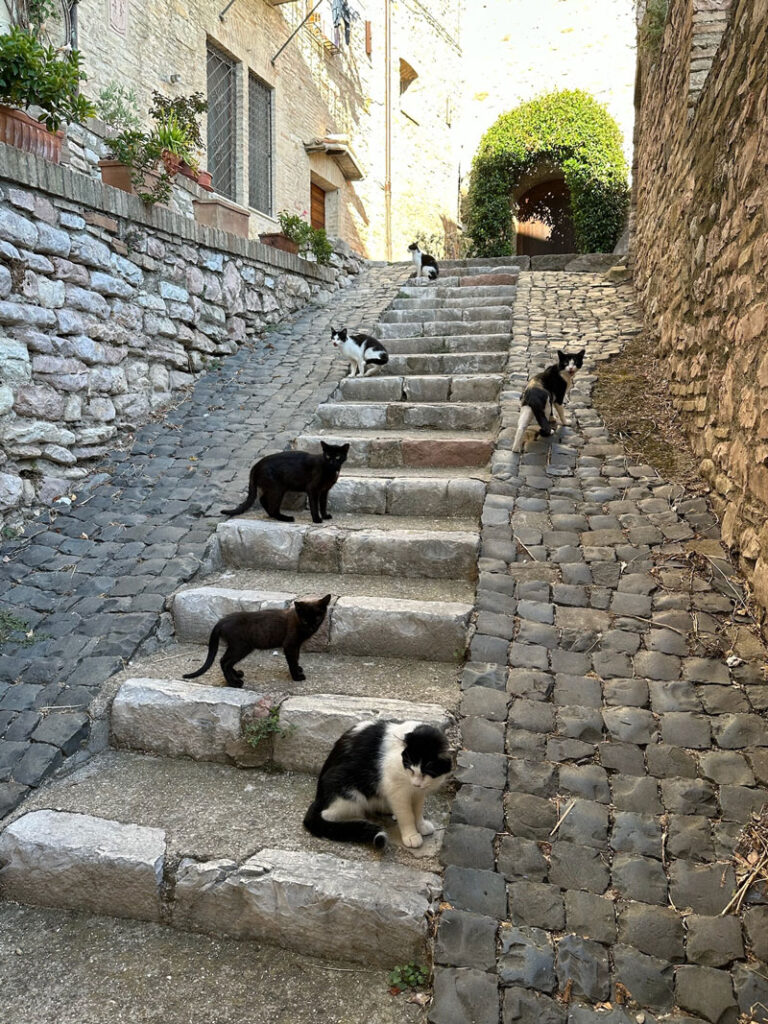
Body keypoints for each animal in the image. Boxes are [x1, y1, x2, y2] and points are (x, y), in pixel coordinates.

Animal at [186, 593, 333, 688]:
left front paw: (298, 669)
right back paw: (234, 683)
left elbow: (296, 658)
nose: (312, 626)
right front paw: (296, 676)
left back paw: (237, 674)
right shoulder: (290, 645)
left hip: (239, 647)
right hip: (241, 646)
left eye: (317, 617)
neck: (298, 621)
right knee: (224, 661)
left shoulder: (296, 646)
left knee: (226, 660)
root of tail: (222, 621)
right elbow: (292, 661)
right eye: (305, 619)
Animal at [221, 440, 350, 524]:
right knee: (272, 506)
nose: (332, 462)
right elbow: (314, 505)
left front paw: (325, 515)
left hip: (273, 488)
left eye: (338, 457)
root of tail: (256, 465)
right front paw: (317, 519)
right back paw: (286, 518)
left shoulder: (324, 491)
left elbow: (323, 505)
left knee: (263, 500)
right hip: (277, 489)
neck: (331, 470)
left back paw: (274, 515)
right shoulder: (313, 489)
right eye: (328, 456)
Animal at [305, 716, 454, 851]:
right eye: (410, 769)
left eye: (425, 773)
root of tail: (318, 797)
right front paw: (411, 835)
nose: (416, 784)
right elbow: (407, 815)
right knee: (329, 814)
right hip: (348, 789)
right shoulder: (396, 790)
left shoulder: (418, 793)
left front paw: (421, 826)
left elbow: (417, 811)